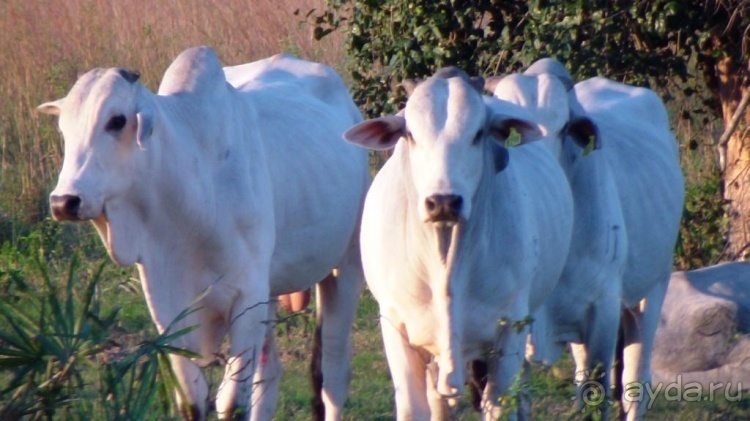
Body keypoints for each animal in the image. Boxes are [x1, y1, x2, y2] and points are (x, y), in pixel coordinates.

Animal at [40, 46, 370, 420]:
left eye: (117, 120)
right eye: (64, 127)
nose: (64, 201)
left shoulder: (247, 297)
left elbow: (231, 402)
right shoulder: (168, 306)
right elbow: (193, 400)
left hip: (344, 268)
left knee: (332, 375)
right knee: (269, 374)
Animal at [344, 67, 572, 418]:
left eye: (478, 134)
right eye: (410, 134)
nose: (443, 202)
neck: (445, 264)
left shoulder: (510, 331)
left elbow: (500, 405)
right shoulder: (395, 327)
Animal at [490, 58, 692, 416]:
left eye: (563, 128)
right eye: (511, 134)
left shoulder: (602, 312)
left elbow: (597, 395)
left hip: (654, 287)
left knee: (634, 381)